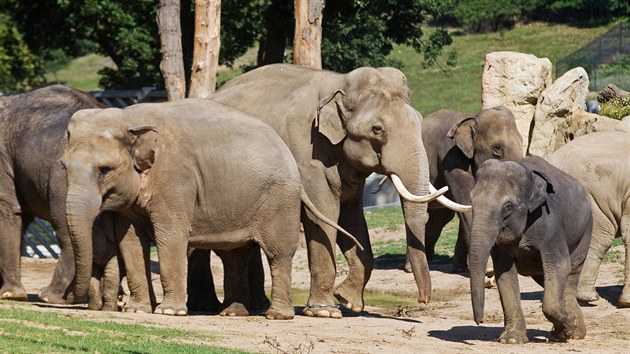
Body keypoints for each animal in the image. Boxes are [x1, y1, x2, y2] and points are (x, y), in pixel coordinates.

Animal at [63, 98, 360, 320]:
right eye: (63, 166)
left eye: (105, 170)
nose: (70, 297)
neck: (130, 118)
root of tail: (288, 153)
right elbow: (131, 242)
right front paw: (137, 310)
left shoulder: (176, 179)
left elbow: (170, 237)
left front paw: (169, 312)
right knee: (235, 254)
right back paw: (232, 313)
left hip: (280, 199)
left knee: (278, 253)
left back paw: (277, 315)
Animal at [420, 106, 524, 272]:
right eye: (497, 149)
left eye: (522, 141)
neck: (473, 118)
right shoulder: (451, 159)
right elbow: (468, 205)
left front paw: (461, 269)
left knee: (439, 218)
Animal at [472, 157, 596, 342]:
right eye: (471, 201)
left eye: (508, 207)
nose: (479, 321)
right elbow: (504, 273)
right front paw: (512, 339)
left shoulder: (550, 224)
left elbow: (559, 266)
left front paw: (568, 326)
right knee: (546, 278)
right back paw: (565, 330)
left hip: (586, 229)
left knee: (571, 273)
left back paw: (573, 333)